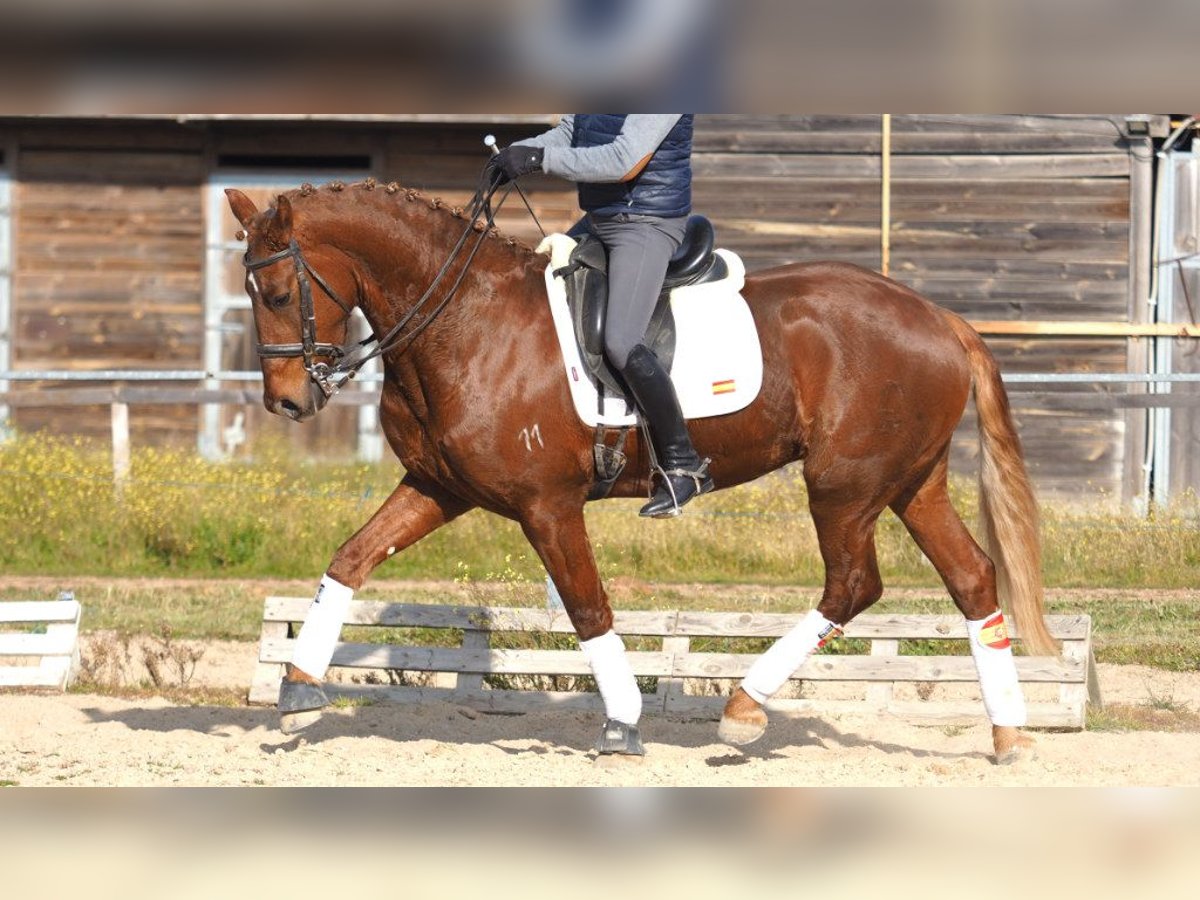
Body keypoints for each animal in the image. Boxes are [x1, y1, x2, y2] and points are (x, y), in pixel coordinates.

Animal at [225, 180, 1051, 763]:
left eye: (278, 292)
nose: (287, 401)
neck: (464, 319)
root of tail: (940, 318)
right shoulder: (441, 489)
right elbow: (351, 559)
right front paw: (298, 683)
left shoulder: (547, 506)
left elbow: (589, 609)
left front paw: (622, 723)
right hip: (910, 482)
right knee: (973, 579)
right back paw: (1008, 735)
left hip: (844, 486)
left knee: (853, 584)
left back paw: (744, 708)